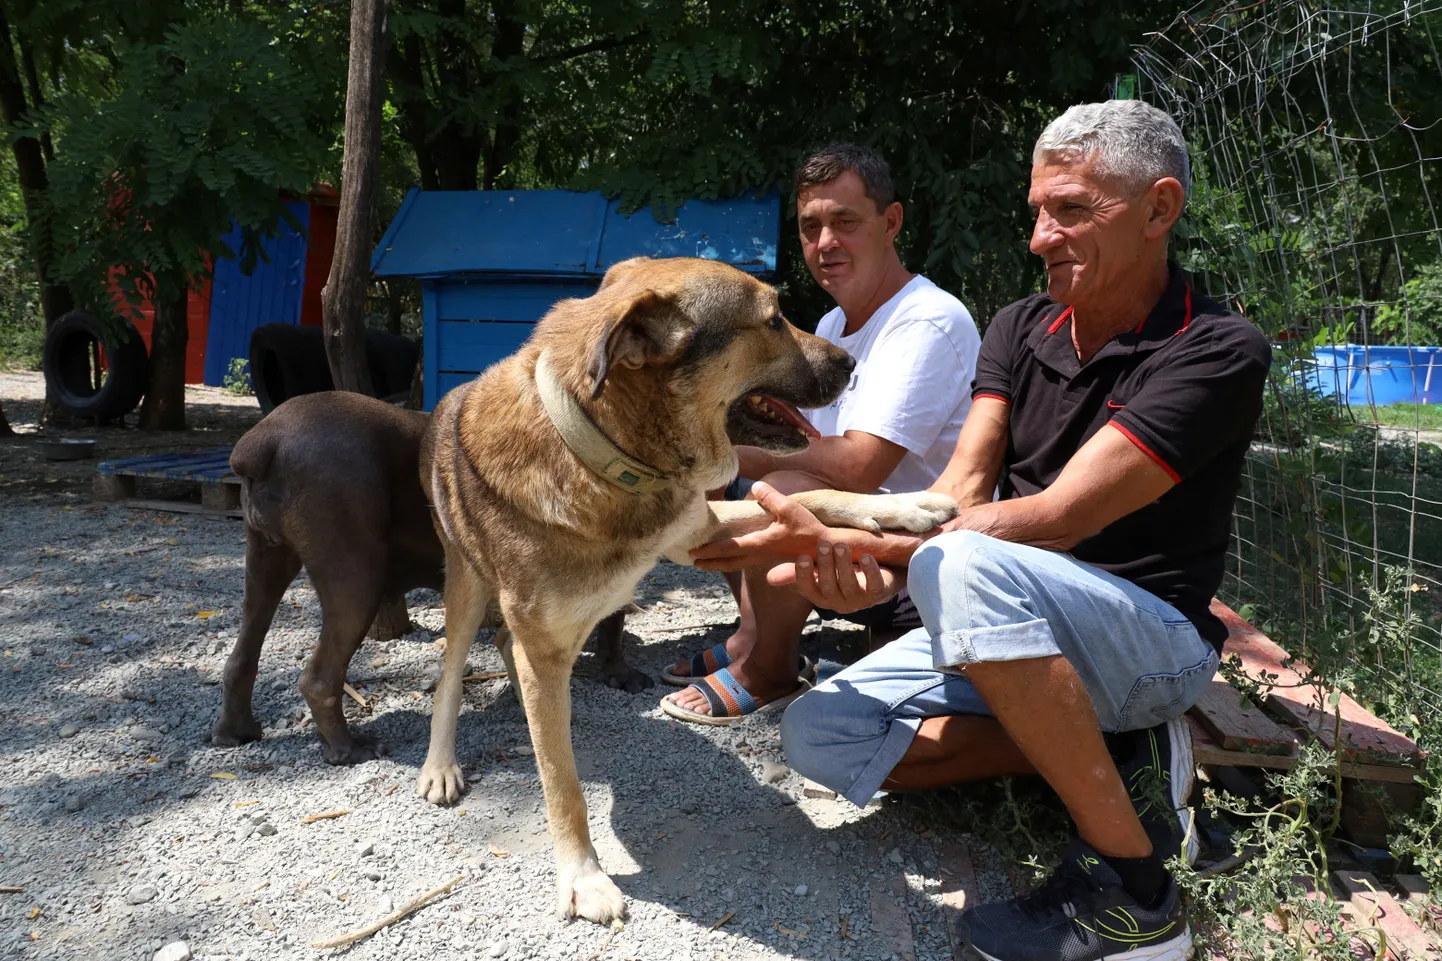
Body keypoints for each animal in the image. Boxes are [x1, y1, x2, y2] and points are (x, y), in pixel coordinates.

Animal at [418, 253, 957, 923]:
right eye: (773, 320)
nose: (850, 363)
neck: (606, 451)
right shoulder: (542, 643)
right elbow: (563, 787)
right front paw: (582, 876)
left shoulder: (695, 531)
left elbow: (815, 496)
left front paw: (907, 508)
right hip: (467, 586)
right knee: (452, 672)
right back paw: (441, 765)